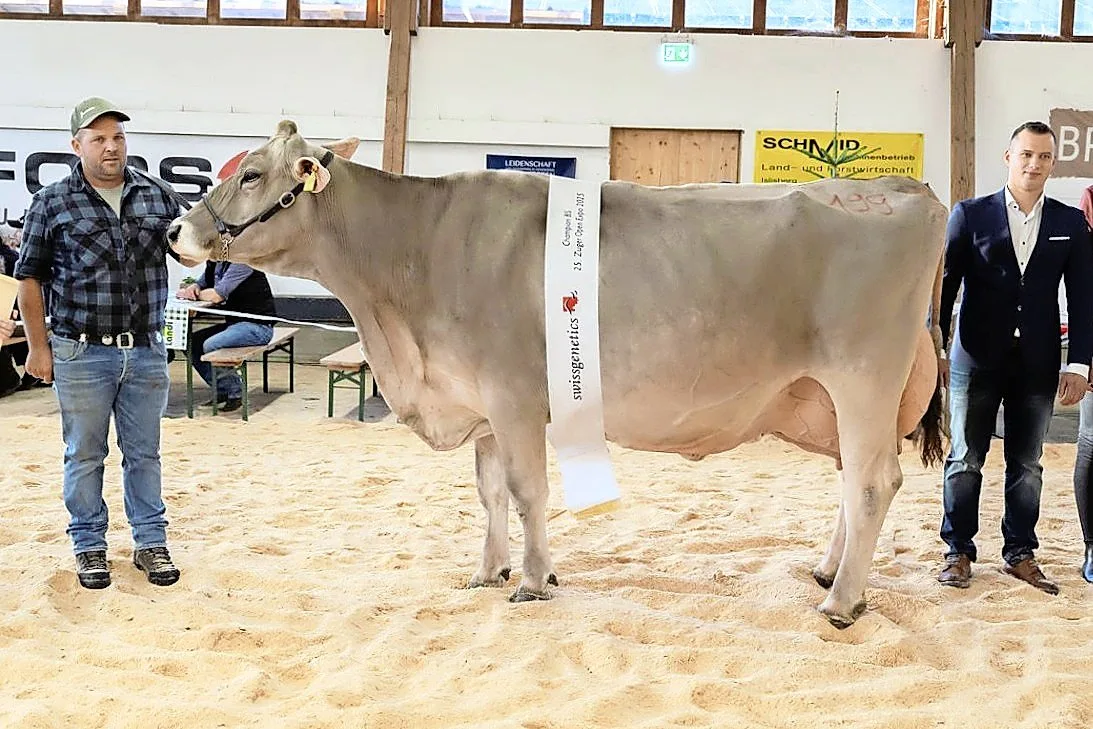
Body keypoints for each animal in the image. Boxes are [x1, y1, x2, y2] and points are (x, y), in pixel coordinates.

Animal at [167, 121, 948, 629]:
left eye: (252, 175)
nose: (177, 232)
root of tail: (904, 187)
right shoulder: (478, 401)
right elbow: (487, 493)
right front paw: (488, 570)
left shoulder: (513, 395)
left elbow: (525, 491)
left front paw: (535, 581)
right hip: (840, 397)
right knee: (851, 481)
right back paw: (828, 571)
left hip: (862, 378)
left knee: (872, 482)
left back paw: (841, 602)